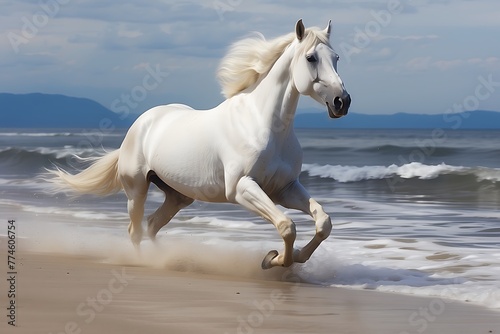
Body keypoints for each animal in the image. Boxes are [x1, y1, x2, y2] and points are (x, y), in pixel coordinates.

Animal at [48, 18, 350, 268]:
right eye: (311, 58)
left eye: (336, 57)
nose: (342, 102)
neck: (264, 127)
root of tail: (141, 123)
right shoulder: (242, 188)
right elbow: (287, 226)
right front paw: (274, 260)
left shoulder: (285, 189)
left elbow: (323, 222)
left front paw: (294, 257)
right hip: (136, 189)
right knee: (136, 230)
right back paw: (149, 262)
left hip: (178, 195)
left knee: (152, 224)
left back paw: (172, 259)